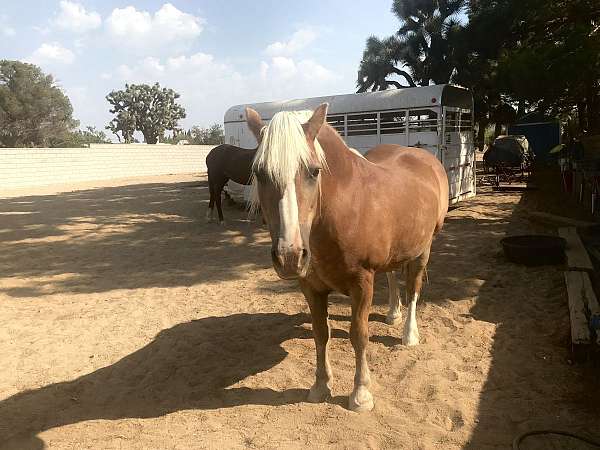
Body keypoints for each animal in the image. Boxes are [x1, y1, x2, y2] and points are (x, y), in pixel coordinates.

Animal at [246, 104, 448, 412]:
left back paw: (409, 334)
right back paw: (393, 314)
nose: (290, 256)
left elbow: (359, 335)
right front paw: (320, 386)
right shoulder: (311, 287)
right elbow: (320, 333)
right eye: (259, 173)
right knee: (392, 275)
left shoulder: (362, 283)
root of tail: (423, 156)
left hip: (423, 248)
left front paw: (361, 394)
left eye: (314, 171)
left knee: (413, 289)